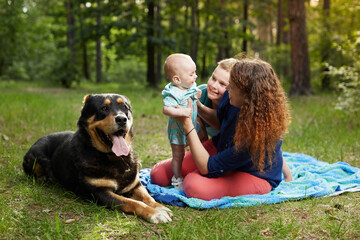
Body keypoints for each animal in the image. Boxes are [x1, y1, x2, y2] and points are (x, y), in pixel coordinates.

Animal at [23, 93, 172, 223]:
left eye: (125, 108)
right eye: (104, 108)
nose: (122, 119)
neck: (114, 158)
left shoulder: (135, 185)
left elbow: (148, 198)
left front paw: (160, 208)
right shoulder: (99, 192)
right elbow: (133, 202)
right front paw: (155, 213)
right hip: (36, 157)